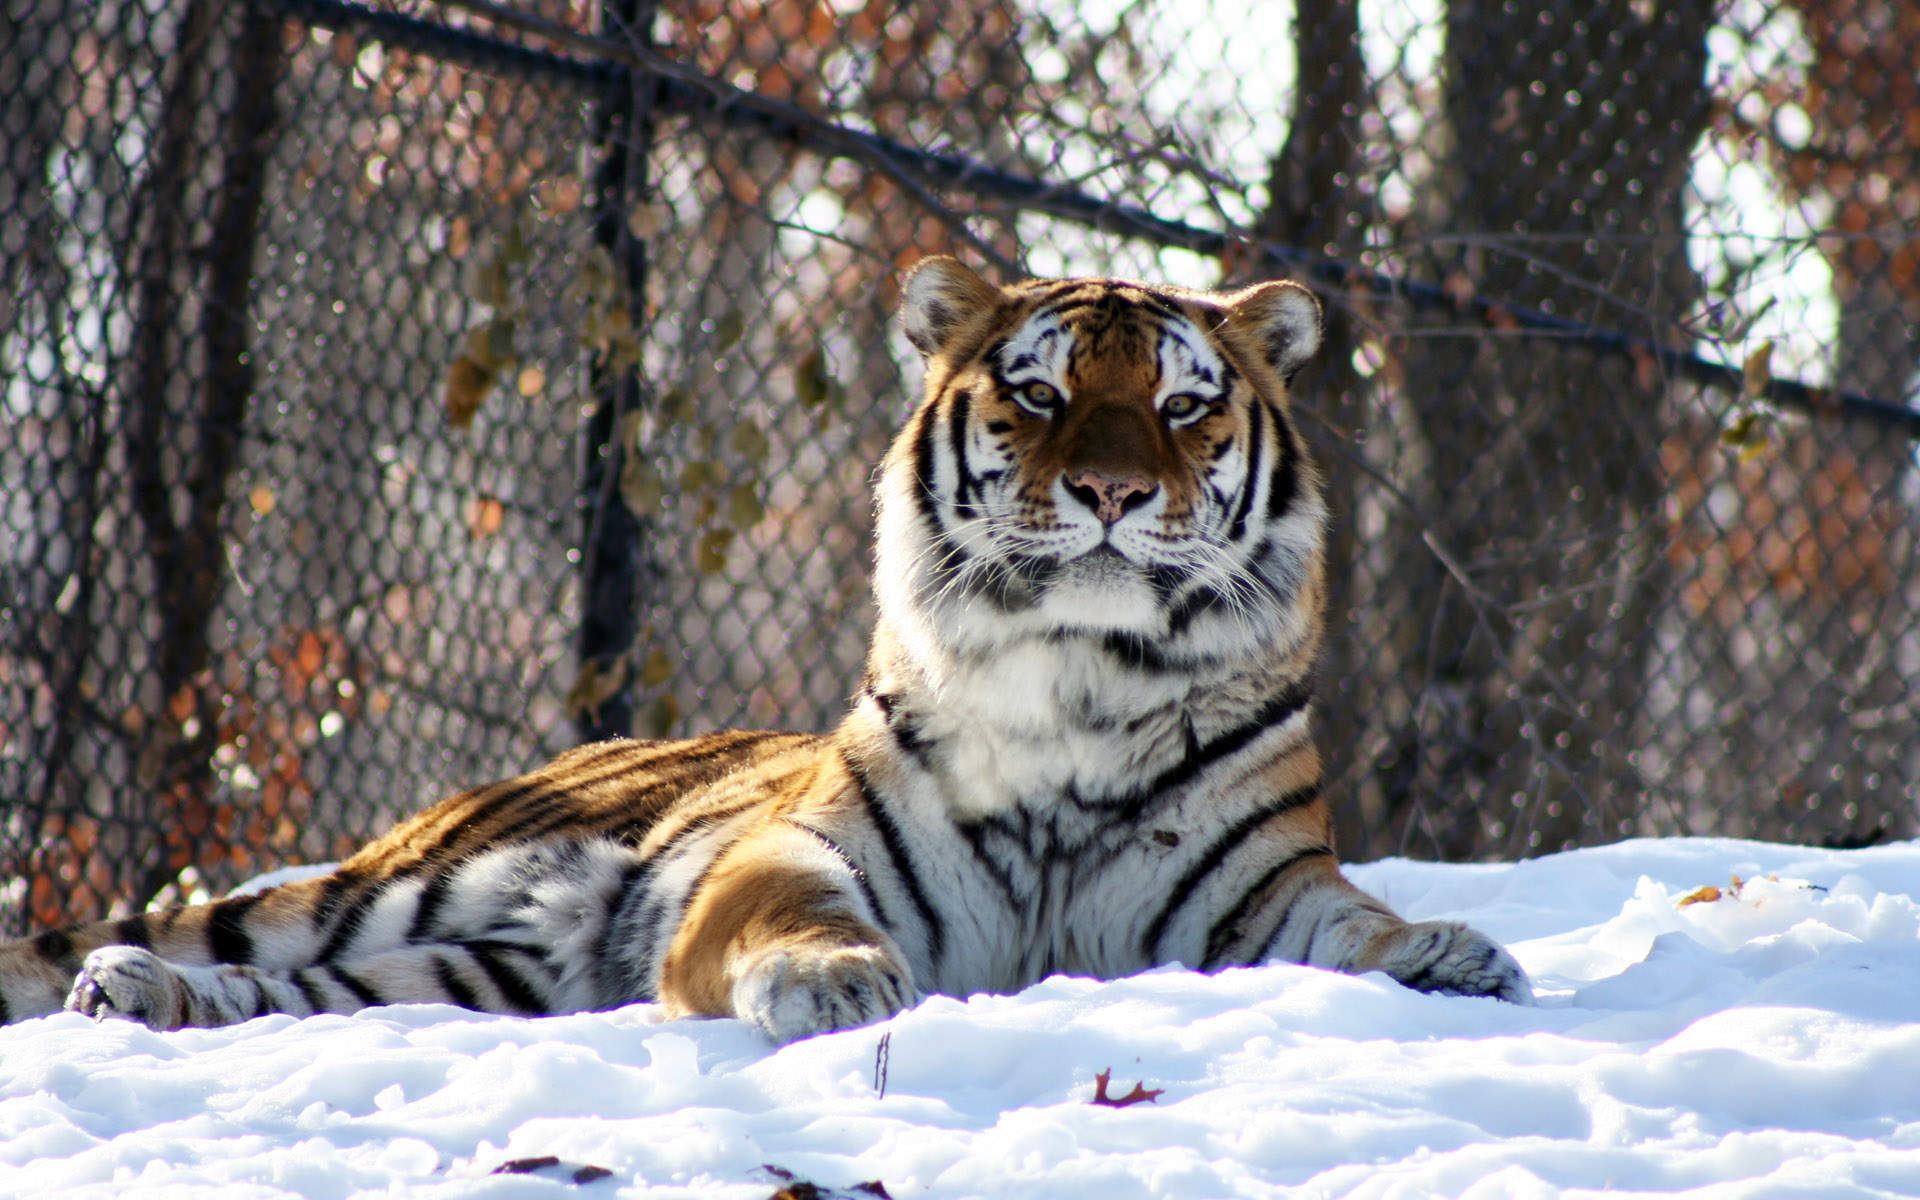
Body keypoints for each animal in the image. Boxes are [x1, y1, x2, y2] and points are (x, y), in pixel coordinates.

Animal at [0, 257, 1530, 1042]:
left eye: (1181, 405)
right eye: (1040, 397)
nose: (1109, 491)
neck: (1082, 678)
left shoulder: (1258, 893)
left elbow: (1356, 924)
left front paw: (1452, 956)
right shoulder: (798, 853)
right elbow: (788, 912)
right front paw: (834, 980)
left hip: (481, 975)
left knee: (305, 998)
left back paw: (148, 1001)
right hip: (389, 889)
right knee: (183, 937)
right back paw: (122, 977)